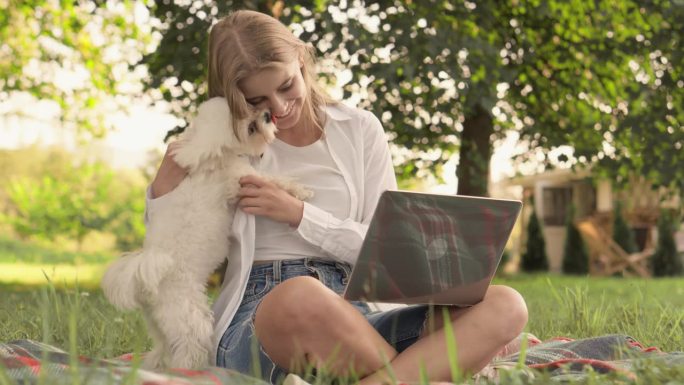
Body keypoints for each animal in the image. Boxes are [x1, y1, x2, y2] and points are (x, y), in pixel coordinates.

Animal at [101, 97, 312, 368]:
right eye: (250, 127)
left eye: (250, 107)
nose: (267, 115)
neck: (213, 158)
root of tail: (147, 285)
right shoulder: (244, 178)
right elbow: (275, 181)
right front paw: (302, 191)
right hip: (190, 318)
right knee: (189, 347)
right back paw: (190, 370)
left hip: (160, 324)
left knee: (162, 349)